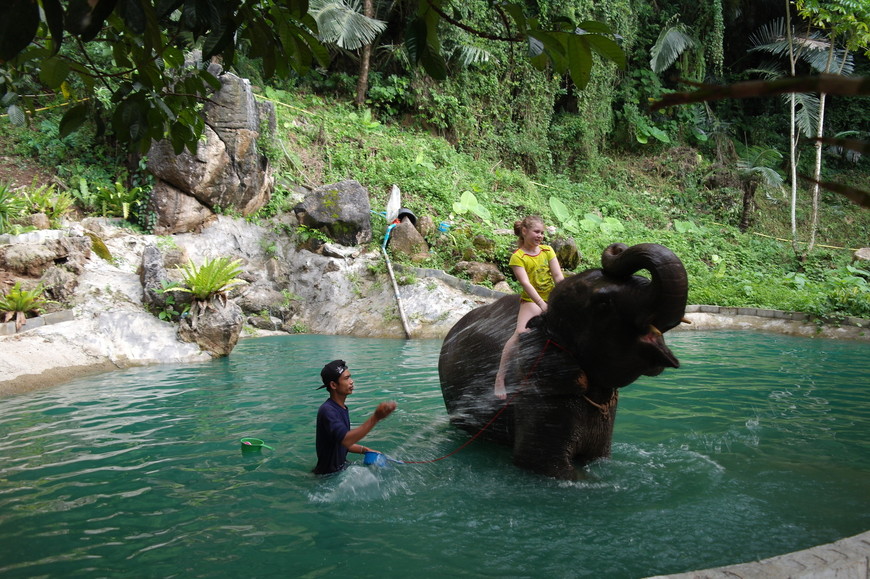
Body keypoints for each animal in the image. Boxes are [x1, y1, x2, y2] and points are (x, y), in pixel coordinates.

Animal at [440, 241, 692, 480]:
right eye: (603, 303)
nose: (618, 248)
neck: (546, 323)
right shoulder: (538, 390)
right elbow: (546, 466)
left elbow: (599, 458)